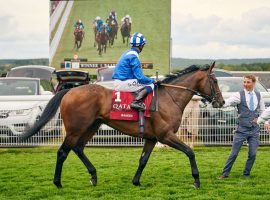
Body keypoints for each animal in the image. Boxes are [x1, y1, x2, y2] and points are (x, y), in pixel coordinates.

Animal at [20, 63, 224, 191]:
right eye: (214, 81)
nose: (220, 102)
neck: (169, 98)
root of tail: (70, 90)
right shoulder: (165, 135)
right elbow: (190, 152)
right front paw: (196, 181)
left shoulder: (152, 138)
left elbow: (143, 160)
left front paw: (136, 181)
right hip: (75, 129)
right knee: (63, 152)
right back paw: (58, 183)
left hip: (91, 126)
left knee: (78, 148)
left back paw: (93, 176)